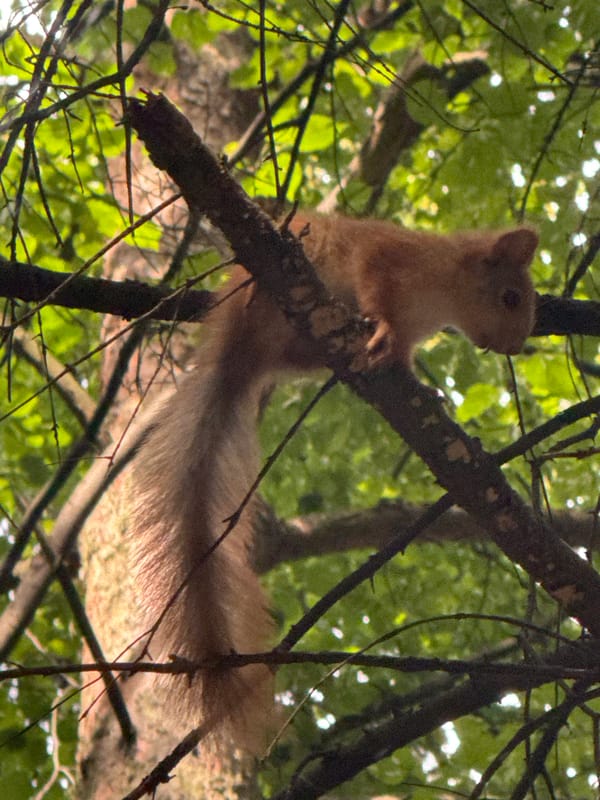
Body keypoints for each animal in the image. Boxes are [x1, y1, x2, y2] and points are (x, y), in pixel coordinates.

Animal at [132, 210, 538, 748]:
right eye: (510, 297)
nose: (514, 346)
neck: (442, 289)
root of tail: (236, 358)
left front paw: (425, 388)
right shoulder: (387, 258)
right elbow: (378, 290)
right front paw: (383, 332)